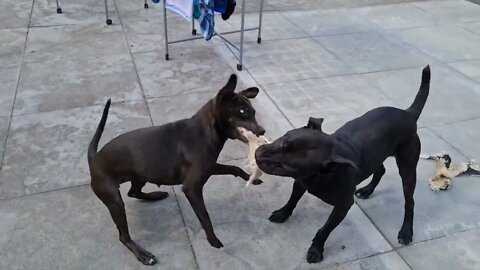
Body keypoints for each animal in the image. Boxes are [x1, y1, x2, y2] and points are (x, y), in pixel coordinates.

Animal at [88, 75, 264, 264]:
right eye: (242, 111)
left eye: (253, 112)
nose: (262, 131)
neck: (205, 132)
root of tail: (94, 159)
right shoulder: (192, 188)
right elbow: (205, 217)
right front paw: (213, 240)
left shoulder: (209, 168)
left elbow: (234, 168)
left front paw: (251, 177)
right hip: (114, 200)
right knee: (123, 235)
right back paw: (143, 254)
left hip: (140, 176)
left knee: (133, 192)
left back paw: (155, 195)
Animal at [255, 66, 432, 264]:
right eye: (285, 140)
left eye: (289, 167)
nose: (257, 155)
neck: (323, 174)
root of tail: (408, 113)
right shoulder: (300, 182)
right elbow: (292, 200)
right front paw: (283, 213)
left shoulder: (343, 205)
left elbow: (324, 229)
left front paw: (316, 249)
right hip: (375, 156)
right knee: (380, 170)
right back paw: (367, 190)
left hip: (407, 169)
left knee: (409, 201)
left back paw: (406, 231)